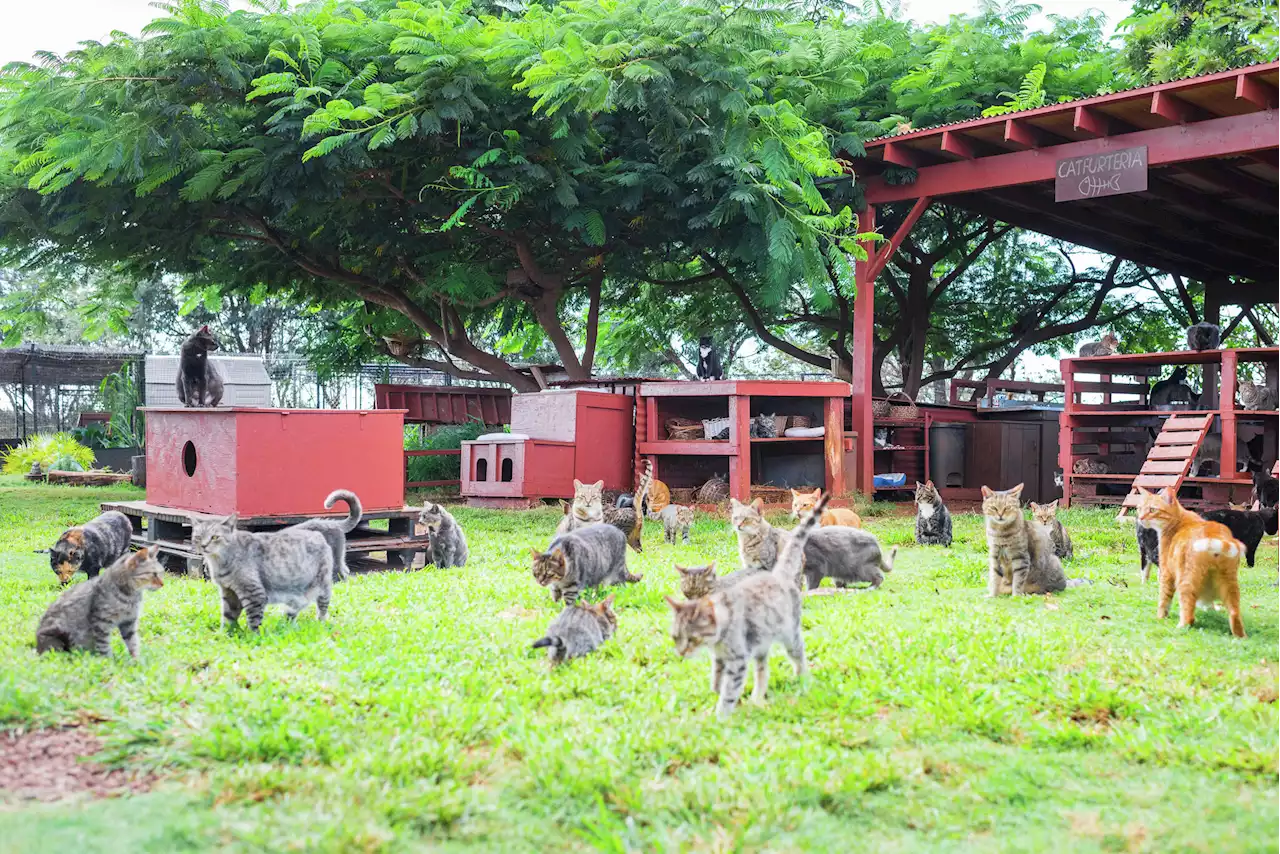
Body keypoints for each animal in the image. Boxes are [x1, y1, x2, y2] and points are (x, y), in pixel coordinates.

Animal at [37, 545, 165, 660]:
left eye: (161, 573)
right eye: (154, 574)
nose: (162, 584)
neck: (130, 596)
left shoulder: (129, 622)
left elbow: (133, 643)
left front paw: (136, 660)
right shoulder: (101, 622)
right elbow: (104, 645)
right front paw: (108, 662)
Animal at [189, 512, 337, 632]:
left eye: (215, 537)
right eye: (198, 537)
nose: (203, 545)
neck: (219, 561)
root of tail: (318, 535)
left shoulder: (254, 593)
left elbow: (254, 620)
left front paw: (253, 637)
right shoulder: (229, 592)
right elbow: (228, 616)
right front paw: (225, 634)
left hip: (323, 588)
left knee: (322, 609)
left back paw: (321, 622)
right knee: (294, 610)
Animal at [1136, 486, 1244, 635]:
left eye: (1152, 509)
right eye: (1139, 508)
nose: (1140, 518)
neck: (1178, 520)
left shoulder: (1167, 573)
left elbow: (1163, 600)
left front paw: (1160, 617)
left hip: (1185, 582)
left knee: (1189, 615)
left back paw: (1180, 627)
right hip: (1230, 586)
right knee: (1235, 614)